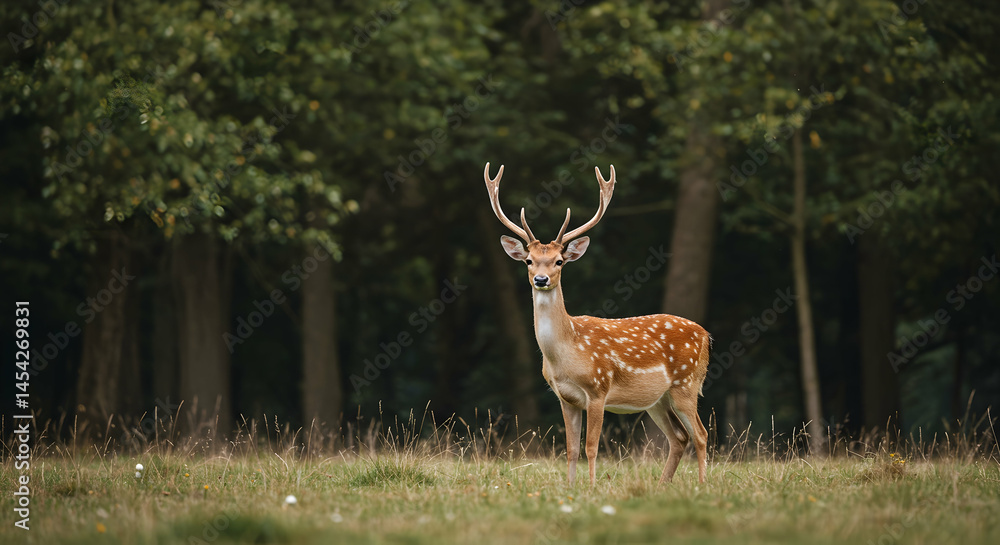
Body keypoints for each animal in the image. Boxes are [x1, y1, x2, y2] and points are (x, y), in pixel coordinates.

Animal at [483, 162, 711, 486]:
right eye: (528, 260)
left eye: (559, 261)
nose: (541, 279)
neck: (568, 351)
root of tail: (706, 335)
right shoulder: (565, 398)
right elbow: (571, 449)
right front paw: (570, 487)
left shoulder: (598, 389)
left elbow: (591, 447)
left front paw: (591, 487)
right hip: (657, 399)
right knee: (679, 437)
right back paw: (662, 485)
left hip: (687, 383)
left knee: (701, 434)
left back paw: (702, 484)